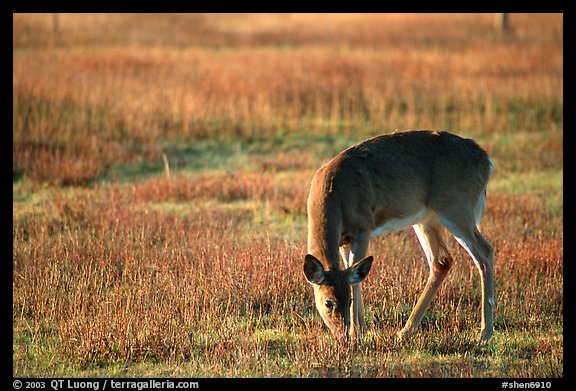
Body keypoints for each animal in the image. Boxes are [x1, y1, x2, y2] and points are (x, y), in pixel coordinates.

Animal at [302, 131, 496, 344]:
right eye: (328, 303)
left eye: (348, 301)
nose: (342, 334)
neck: (336, 195)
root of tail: (486, 161)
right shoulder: (345, 240)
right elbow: (353, 273)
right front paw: (362, 330)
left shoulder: (363, 227)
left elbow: (357, 277)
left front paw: (357, 333)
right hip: (426, 219)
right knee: (442, 261)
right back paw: (405, 331)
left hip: (457, 208)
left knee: (485, 254)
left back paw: (485, 334)